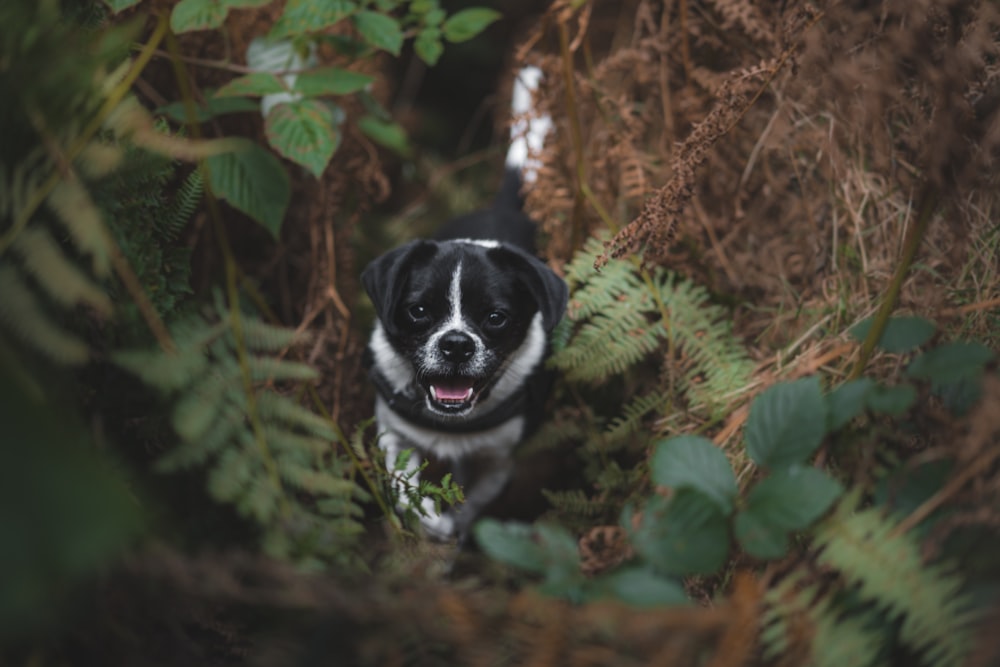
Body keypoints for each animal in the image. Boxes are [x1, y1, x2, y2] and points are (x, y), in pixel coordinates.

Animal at [362, 65, 568, 540]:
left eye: (496, 317)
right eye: (418, 311)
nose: (456, 344)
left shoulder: (498, 461)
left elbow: (471, 506)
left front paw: (451, 530)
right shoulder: (394, 435)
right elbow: (404, 484)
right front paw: (430, 521)